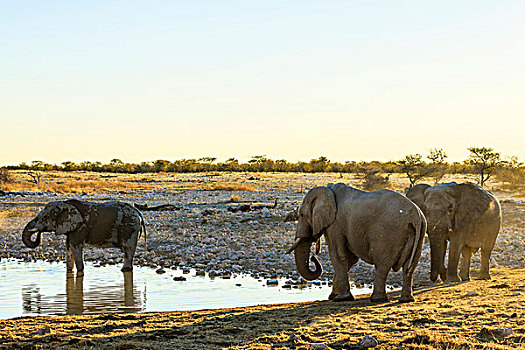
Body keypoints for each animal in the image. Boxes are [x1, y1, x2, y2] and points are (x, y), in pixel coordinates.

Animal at [286, 183, 426, 304]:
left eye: (301, 214)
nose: (313, 257)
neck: (328, 190)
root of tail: (415, 215)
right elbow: (349, 259)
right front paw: (333, 296)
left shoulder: (335, 224)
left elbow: (338, 255)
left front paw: (341, 298)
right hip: (420, 233)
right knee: (410, 265)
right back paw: (406, 300)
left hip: (389, 234)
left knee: (382, 264)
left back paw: (377, 299)